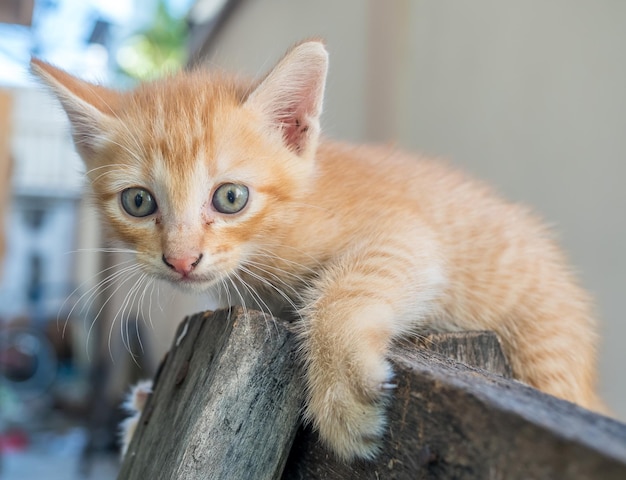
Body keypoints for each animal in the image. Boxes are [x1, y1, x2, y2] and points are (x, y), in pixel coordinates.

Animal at [31, 41, 604, 462]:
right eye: (138, 202)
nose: (181, 259)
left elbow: (350, 284)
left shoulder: (408, 233)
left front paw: (341, 385)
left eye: (231, 197)